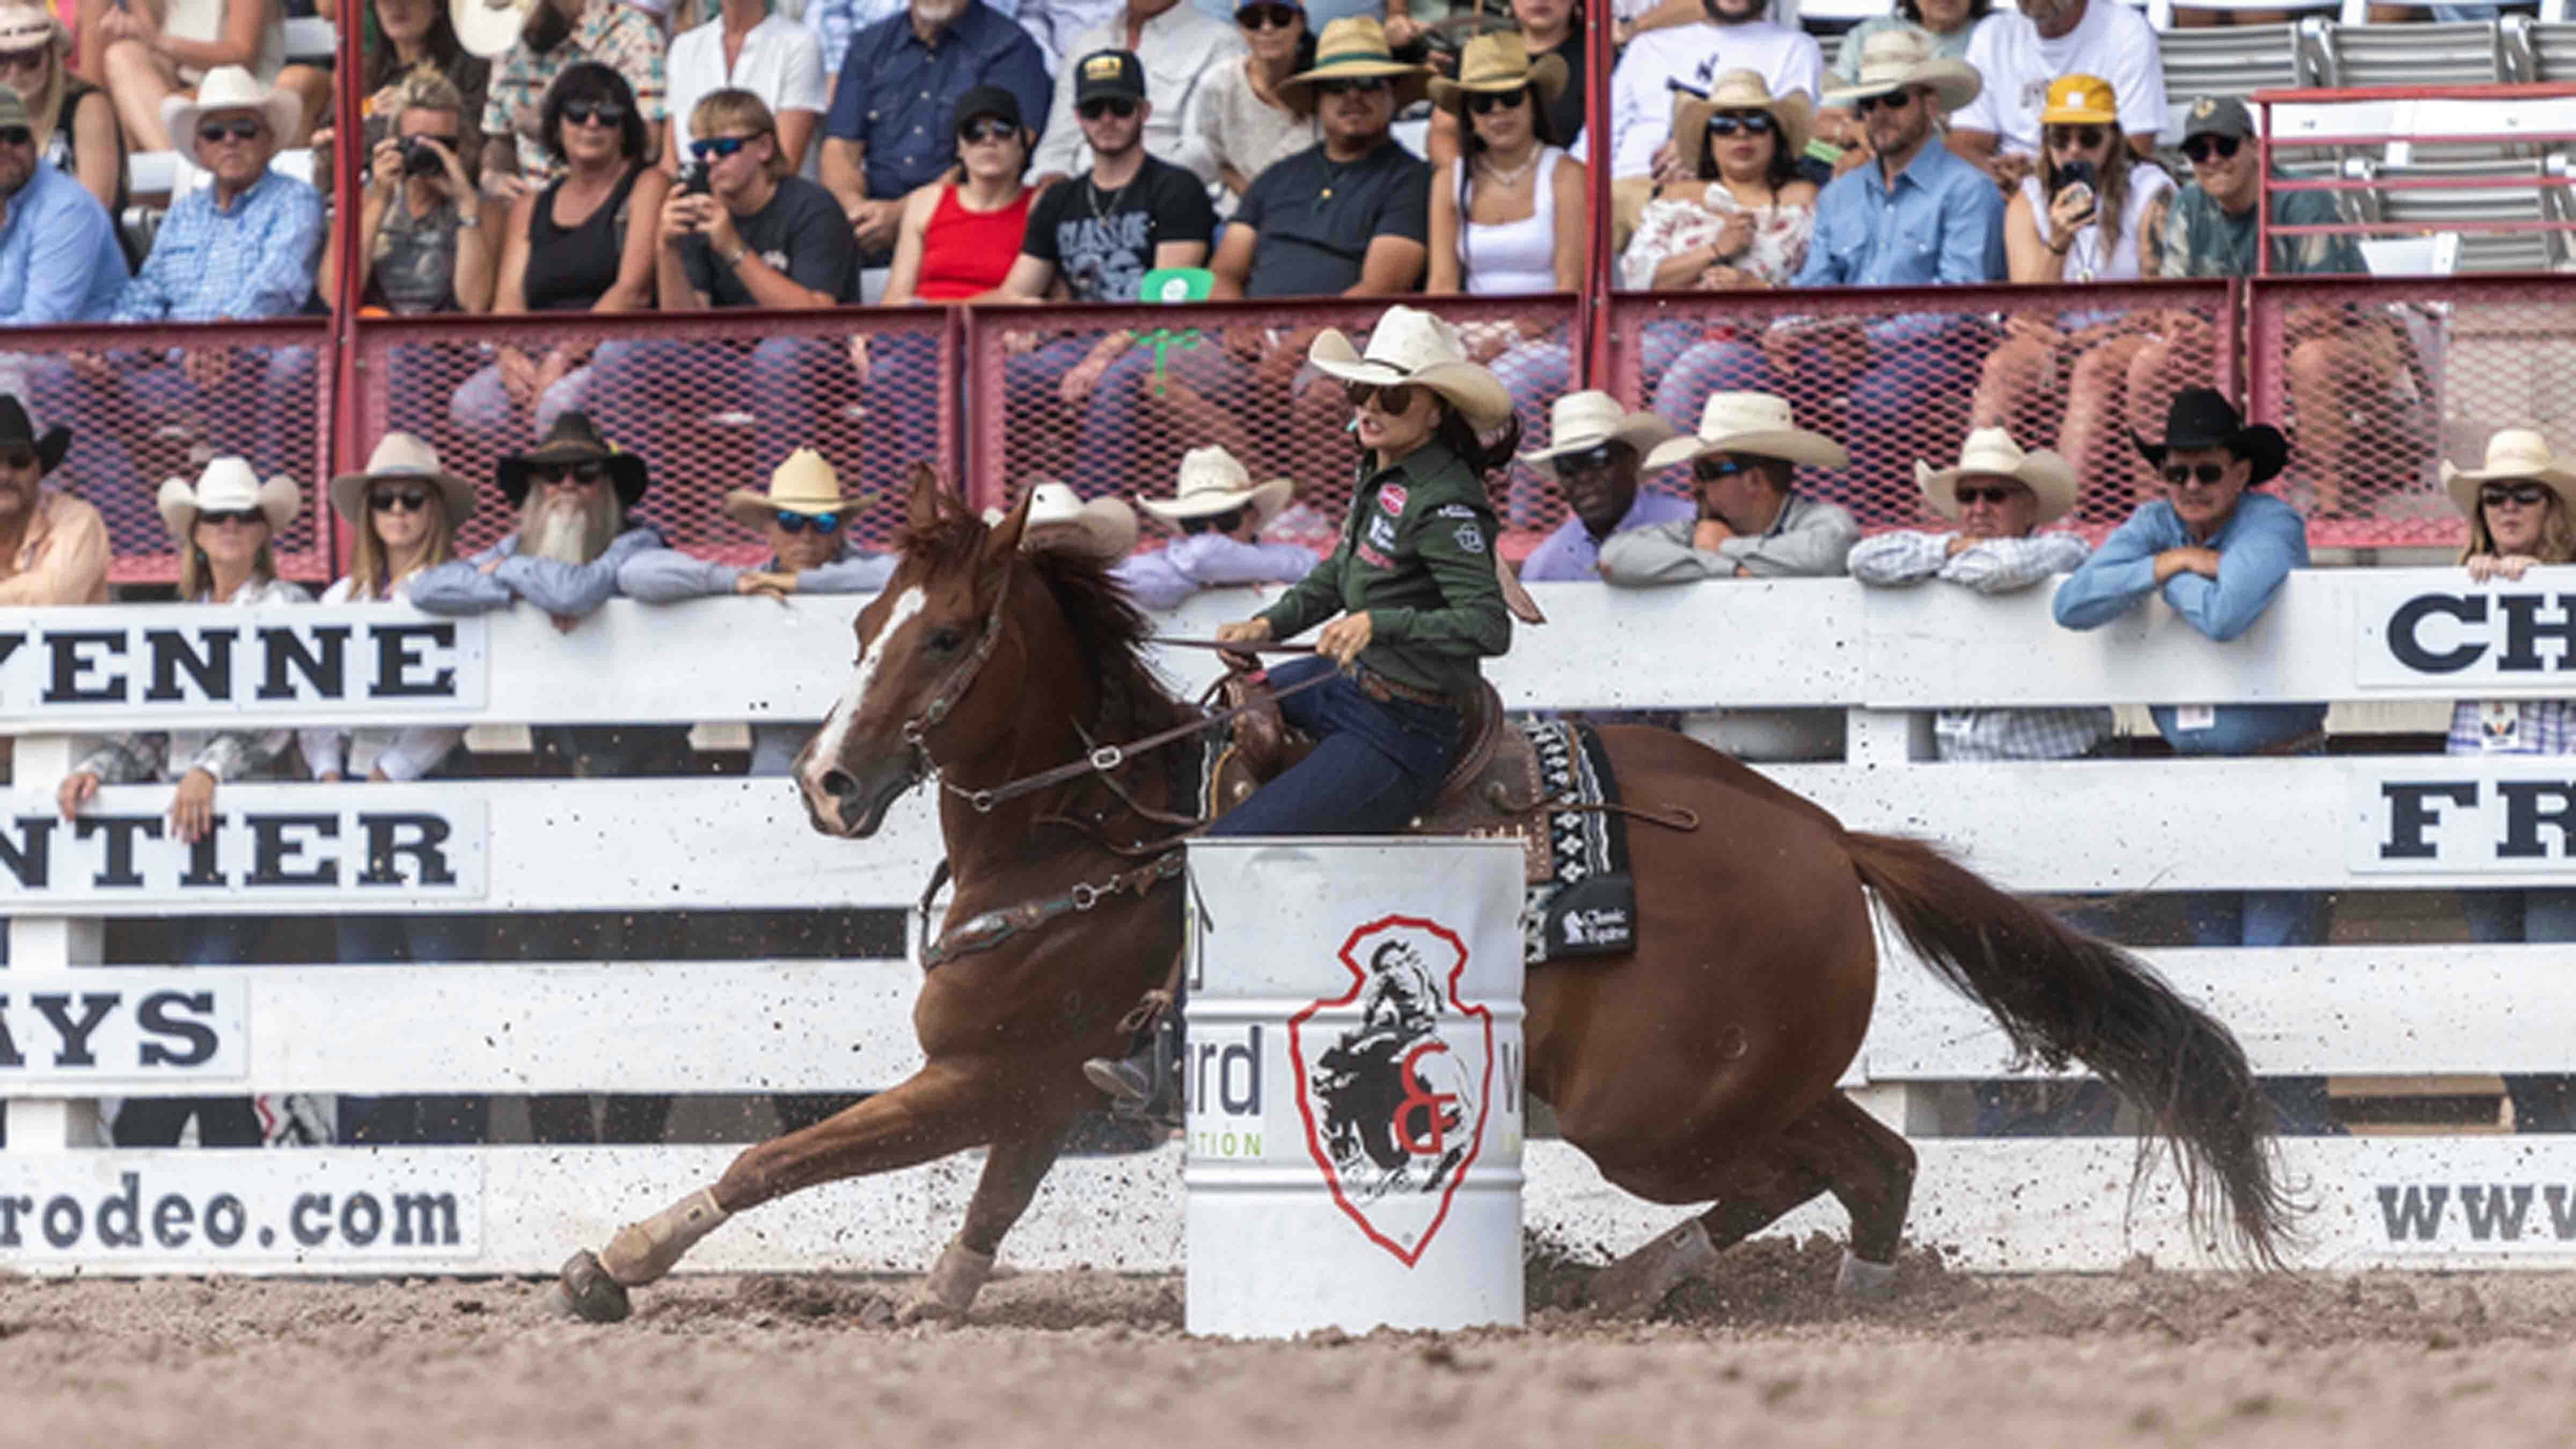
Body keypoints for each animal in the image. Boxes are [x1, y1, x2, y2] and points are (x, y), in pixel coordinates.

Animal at [559, 472, 2297, 1320]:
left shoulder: (989, 1069)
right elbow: (981, 1211)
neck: (1085, 831)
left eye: (941, 637)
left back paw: (1682, 1281)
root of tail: (1824, 836)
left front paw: (615, 1262)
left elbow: (783, 1155)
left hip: (1654, 1115)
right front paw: (935, 1300)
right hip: (1710, 1100)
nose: (826, 784)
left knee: (1846, 1167)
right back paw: (1697, 1286)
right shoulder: (1043, 1091)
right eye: (863, 623)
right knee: (1862, 1163)